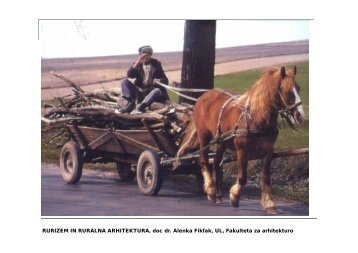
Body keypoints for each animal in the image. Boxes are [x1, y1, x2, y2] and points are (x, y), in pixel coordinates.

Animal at [178, 65, 304, 213]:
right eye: (288, 91)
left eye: (299, 88)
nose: (300, 115)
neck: (255, 117)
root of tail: (203, 96)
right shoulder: (242, 150)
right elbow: (243, 177)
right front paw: (234, 196)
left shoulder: (268, 151)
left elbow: (266, 177)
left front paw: (269, 203)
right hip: (204, 136)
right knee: (203, 160)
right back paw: (210, 190)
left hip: (220, 141)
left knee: (216, 164)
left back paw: (217, 194)